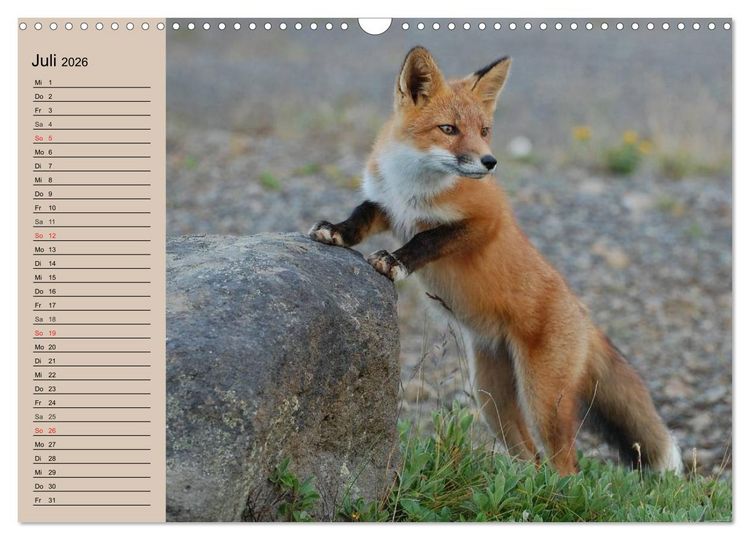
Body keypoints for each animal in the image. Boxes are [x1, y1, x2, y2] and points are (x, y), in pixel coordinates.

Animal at [308, 46, 682, 476]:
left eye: (484, 130)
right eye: (449, 129)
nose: (490, 162)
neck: (413, 187)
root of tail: (583, 315)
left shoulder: (486, 220)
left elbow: (427, 238)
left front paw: (395, 261)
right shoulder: (387, 205)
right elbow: (360, 215)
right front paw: (335, 232)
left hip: (543, 401)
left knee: (565, 465)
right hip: (491, 399)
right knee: (531, 458)